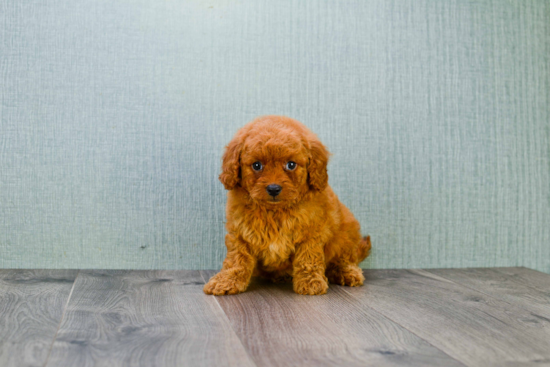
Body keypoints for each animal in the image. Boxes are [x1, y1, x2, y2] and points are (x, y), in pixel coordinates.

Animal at [205, 115, 374, 296]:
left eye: (291, 165)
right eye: (257, 165)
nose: (273, 188)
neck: (275, 211)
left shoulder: (311, 234)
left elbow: (308, 258)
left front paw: (310, 282)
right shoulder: (240, 233)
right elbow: (236, 260)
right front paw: (226, 281)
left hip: (346, 231)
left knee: (344, 258)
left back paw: (347, 272)